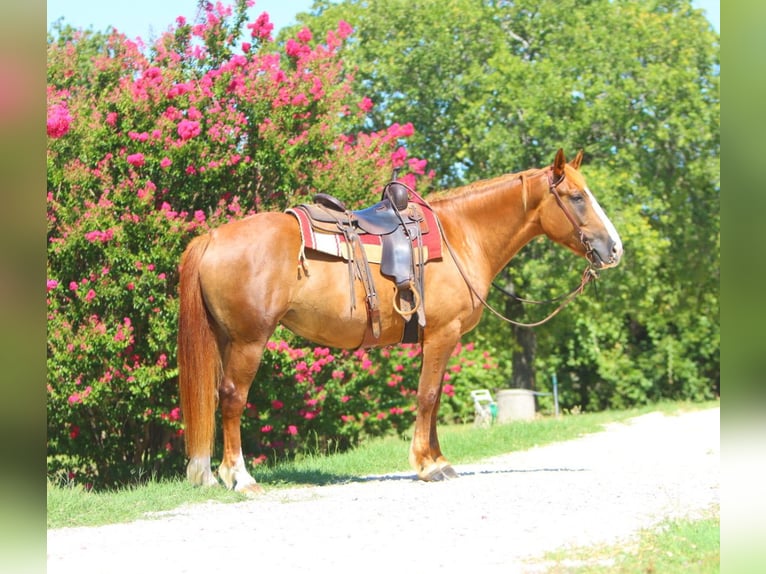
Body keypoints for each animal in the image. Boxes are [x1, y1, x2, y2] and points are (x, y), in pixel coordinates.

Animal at [178, 150, 624, 496]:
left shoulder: (436, 339)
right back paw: (240, 476)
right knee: (233, 398)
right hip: (249, 341)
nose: (614, 249)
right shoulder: (443, 334)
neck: (461, 236)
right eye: (576, 197)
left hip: (225, 340)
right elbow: (426, 397)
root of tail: (212, 238)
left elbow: (435, 398)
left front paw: (439, 460)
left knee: (215, 397)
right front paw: (426, 467)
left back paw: (209, 474)